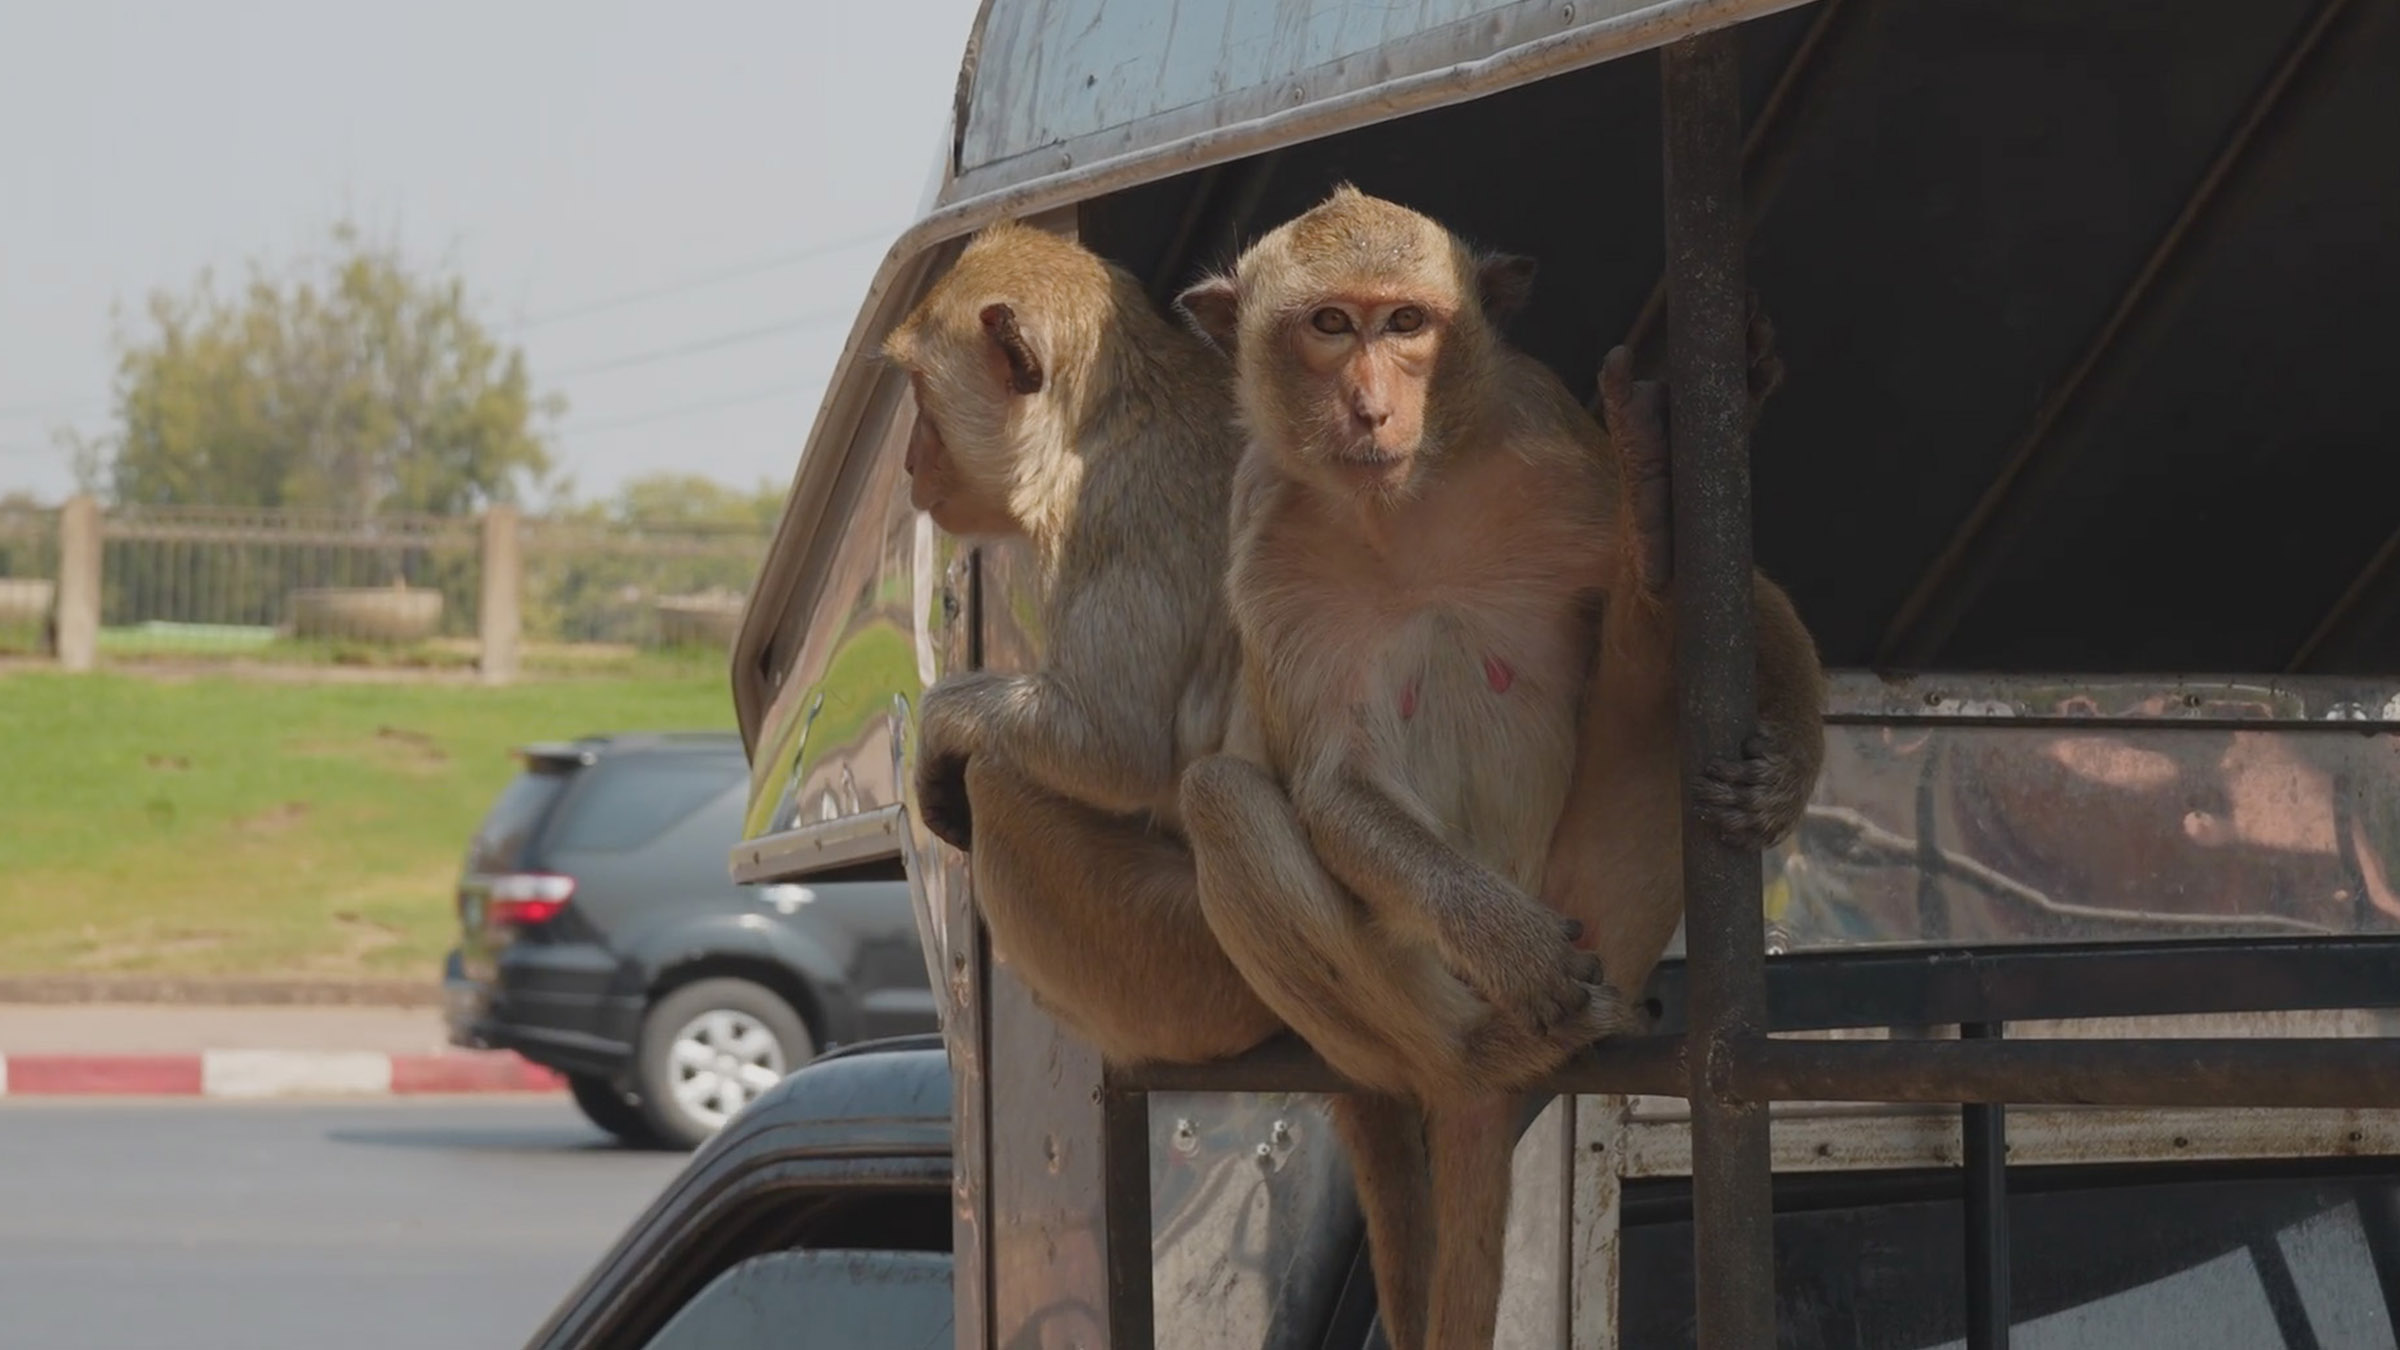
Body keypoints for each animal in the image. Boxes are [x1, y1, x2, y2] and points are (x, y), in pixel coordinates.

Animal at [881, 220, 1285, 1068]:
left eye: (924, 392)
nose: (909, 460)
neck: (1100, 419)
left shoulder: (1110, 517)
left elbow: (1113, 745)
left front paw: (939, 727)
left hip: (1187, 965)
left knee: (999, 778)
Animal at [1171, 186, 1825, 1350]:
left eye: (1406, 323)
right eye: (1329, 325)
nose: (1371, 410)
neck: (1406, 508)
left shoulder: (1550, 445)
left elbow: (1750, 595)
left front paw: (1788, 769)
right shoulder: (1265, 535)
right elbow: (1333, 783)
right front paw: (1512, 946)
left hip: (1607, 906)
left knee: (1662, 674)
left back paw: (1656, 515)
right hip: (1424, 990)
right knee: (1222, 796)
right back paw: (1481, 1056)